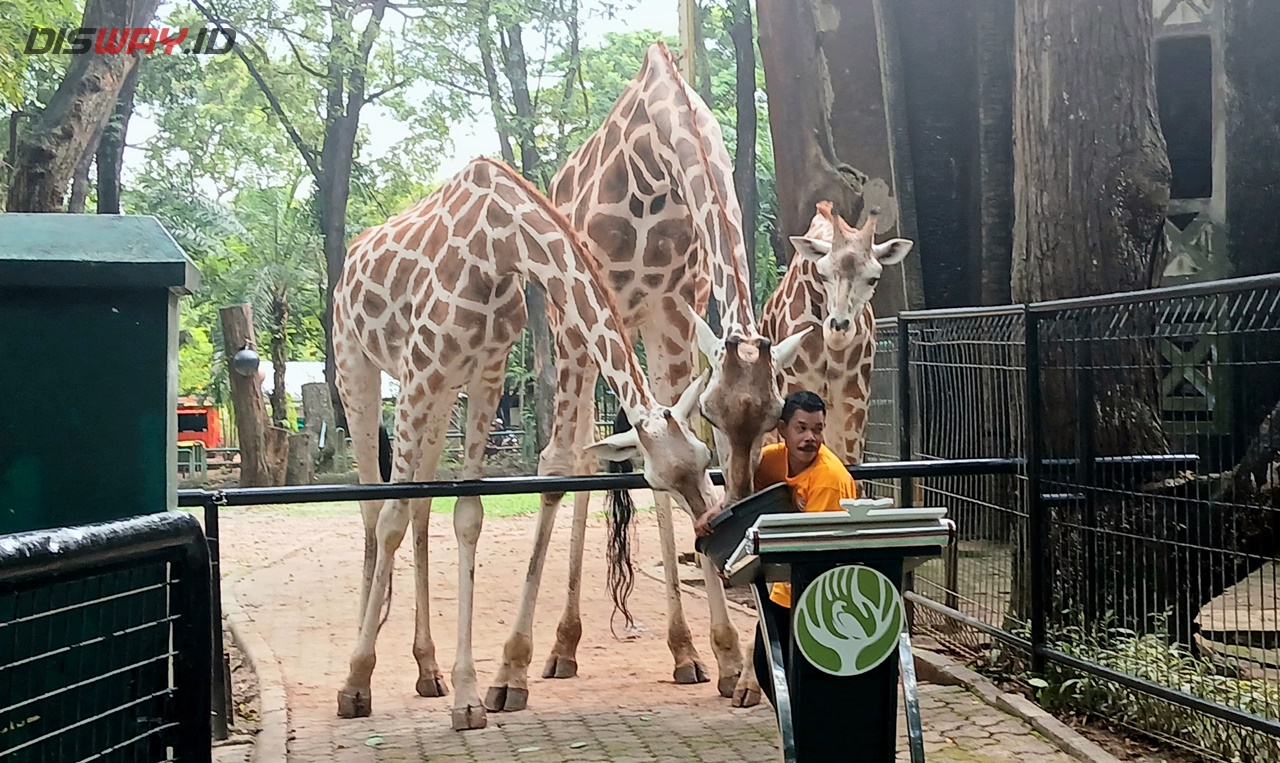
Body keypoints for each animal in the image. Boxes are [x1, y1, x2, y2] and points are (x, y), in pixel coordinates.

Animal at [481, 40, 808, 711]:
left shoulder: (675, 312)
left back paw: (682, 653)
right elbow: (560, 466)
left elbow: (661, 475)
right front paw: (509, 672)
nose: (736, 509)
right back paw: (560, 649)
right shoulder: (581, 316)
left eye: (772, 415)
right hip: (572, 329)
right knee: (576, 461)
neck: (656, 161)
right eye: (713, 412)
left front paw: (726, 662)